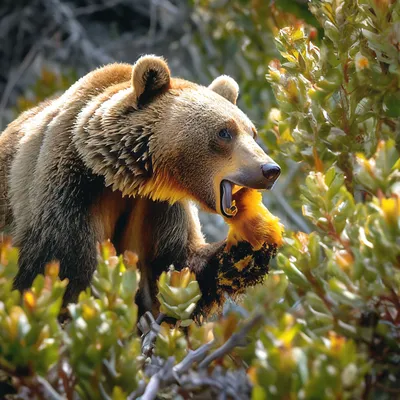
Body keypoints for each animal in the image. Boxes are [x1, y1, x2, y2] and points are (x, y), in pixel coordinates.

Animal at [0, 55, 282, 316]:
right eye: (225, 132)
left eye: (252, 132)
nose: (270, 170)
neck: (124, 178)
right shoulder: (69, 194)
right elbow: (62, 272)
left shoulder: (158, 206)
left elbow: (176, 268)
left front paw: (253, 240)